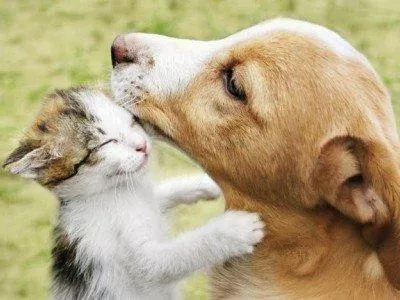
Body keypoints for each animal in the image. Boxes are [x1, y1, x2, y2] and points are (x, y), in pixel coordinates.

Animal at [4, 87, 266, 300]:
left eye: (131, 120)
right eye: (105, 143)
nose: (143, 145)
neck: (114, 193)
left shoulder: (146, 195)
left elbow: (160, 193)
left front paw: (205, 184)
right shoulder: (138, 260)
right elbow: (166, 261)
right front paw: (235, 229)